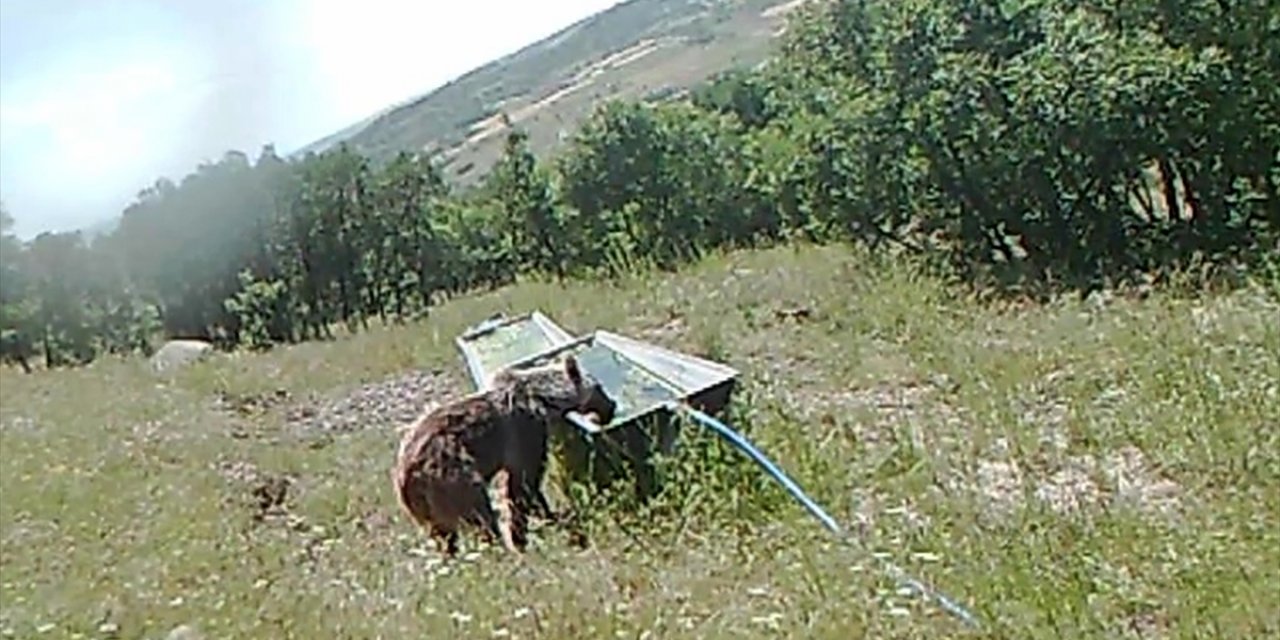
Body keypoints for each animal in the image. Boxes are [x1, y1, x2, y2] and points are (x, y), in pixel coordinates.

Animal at [389, 355, 614, 555]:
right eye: (599, 386)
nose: (612, 406)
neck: (543, 398)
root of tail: (403, 478)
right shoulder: (525, 429)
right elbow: (522, 484)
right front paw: (526, 533)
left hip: (427, 506)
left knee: (444, 536)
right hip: (452, 475)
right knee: (480, 514)